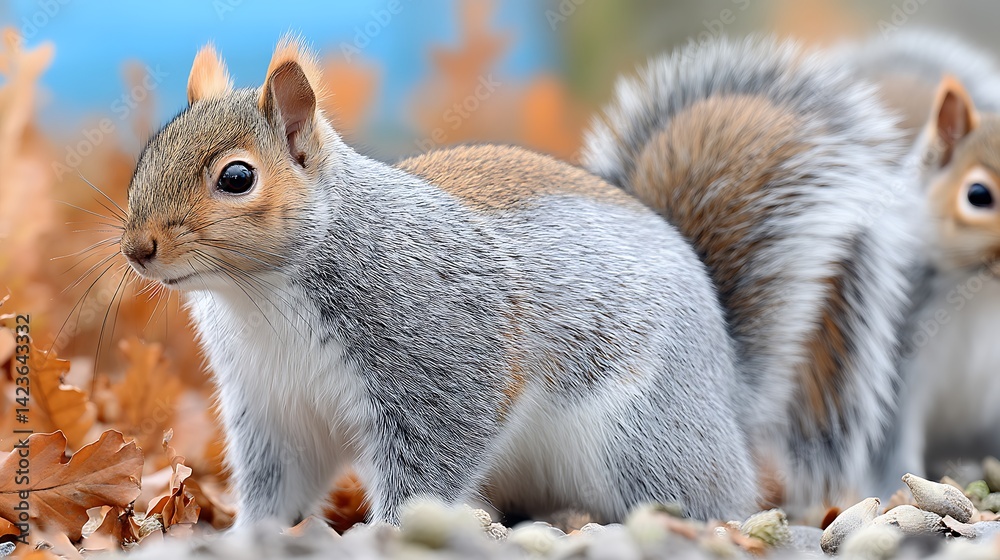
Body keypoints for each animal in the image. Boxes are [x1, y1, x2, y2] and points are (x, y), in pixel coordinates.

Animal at [119, 36, 917, 527]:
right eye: (147, 152)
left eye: (237, 178)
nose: (137, 249)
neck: (258, 296)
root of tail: (729, 389)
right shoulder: (273, 403)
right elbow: (276, 481)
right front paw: (248, 533)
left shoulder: (442, 353)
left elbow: (435, 456)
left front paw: (392, 532)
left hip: (643, 436)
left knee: (706, 494)